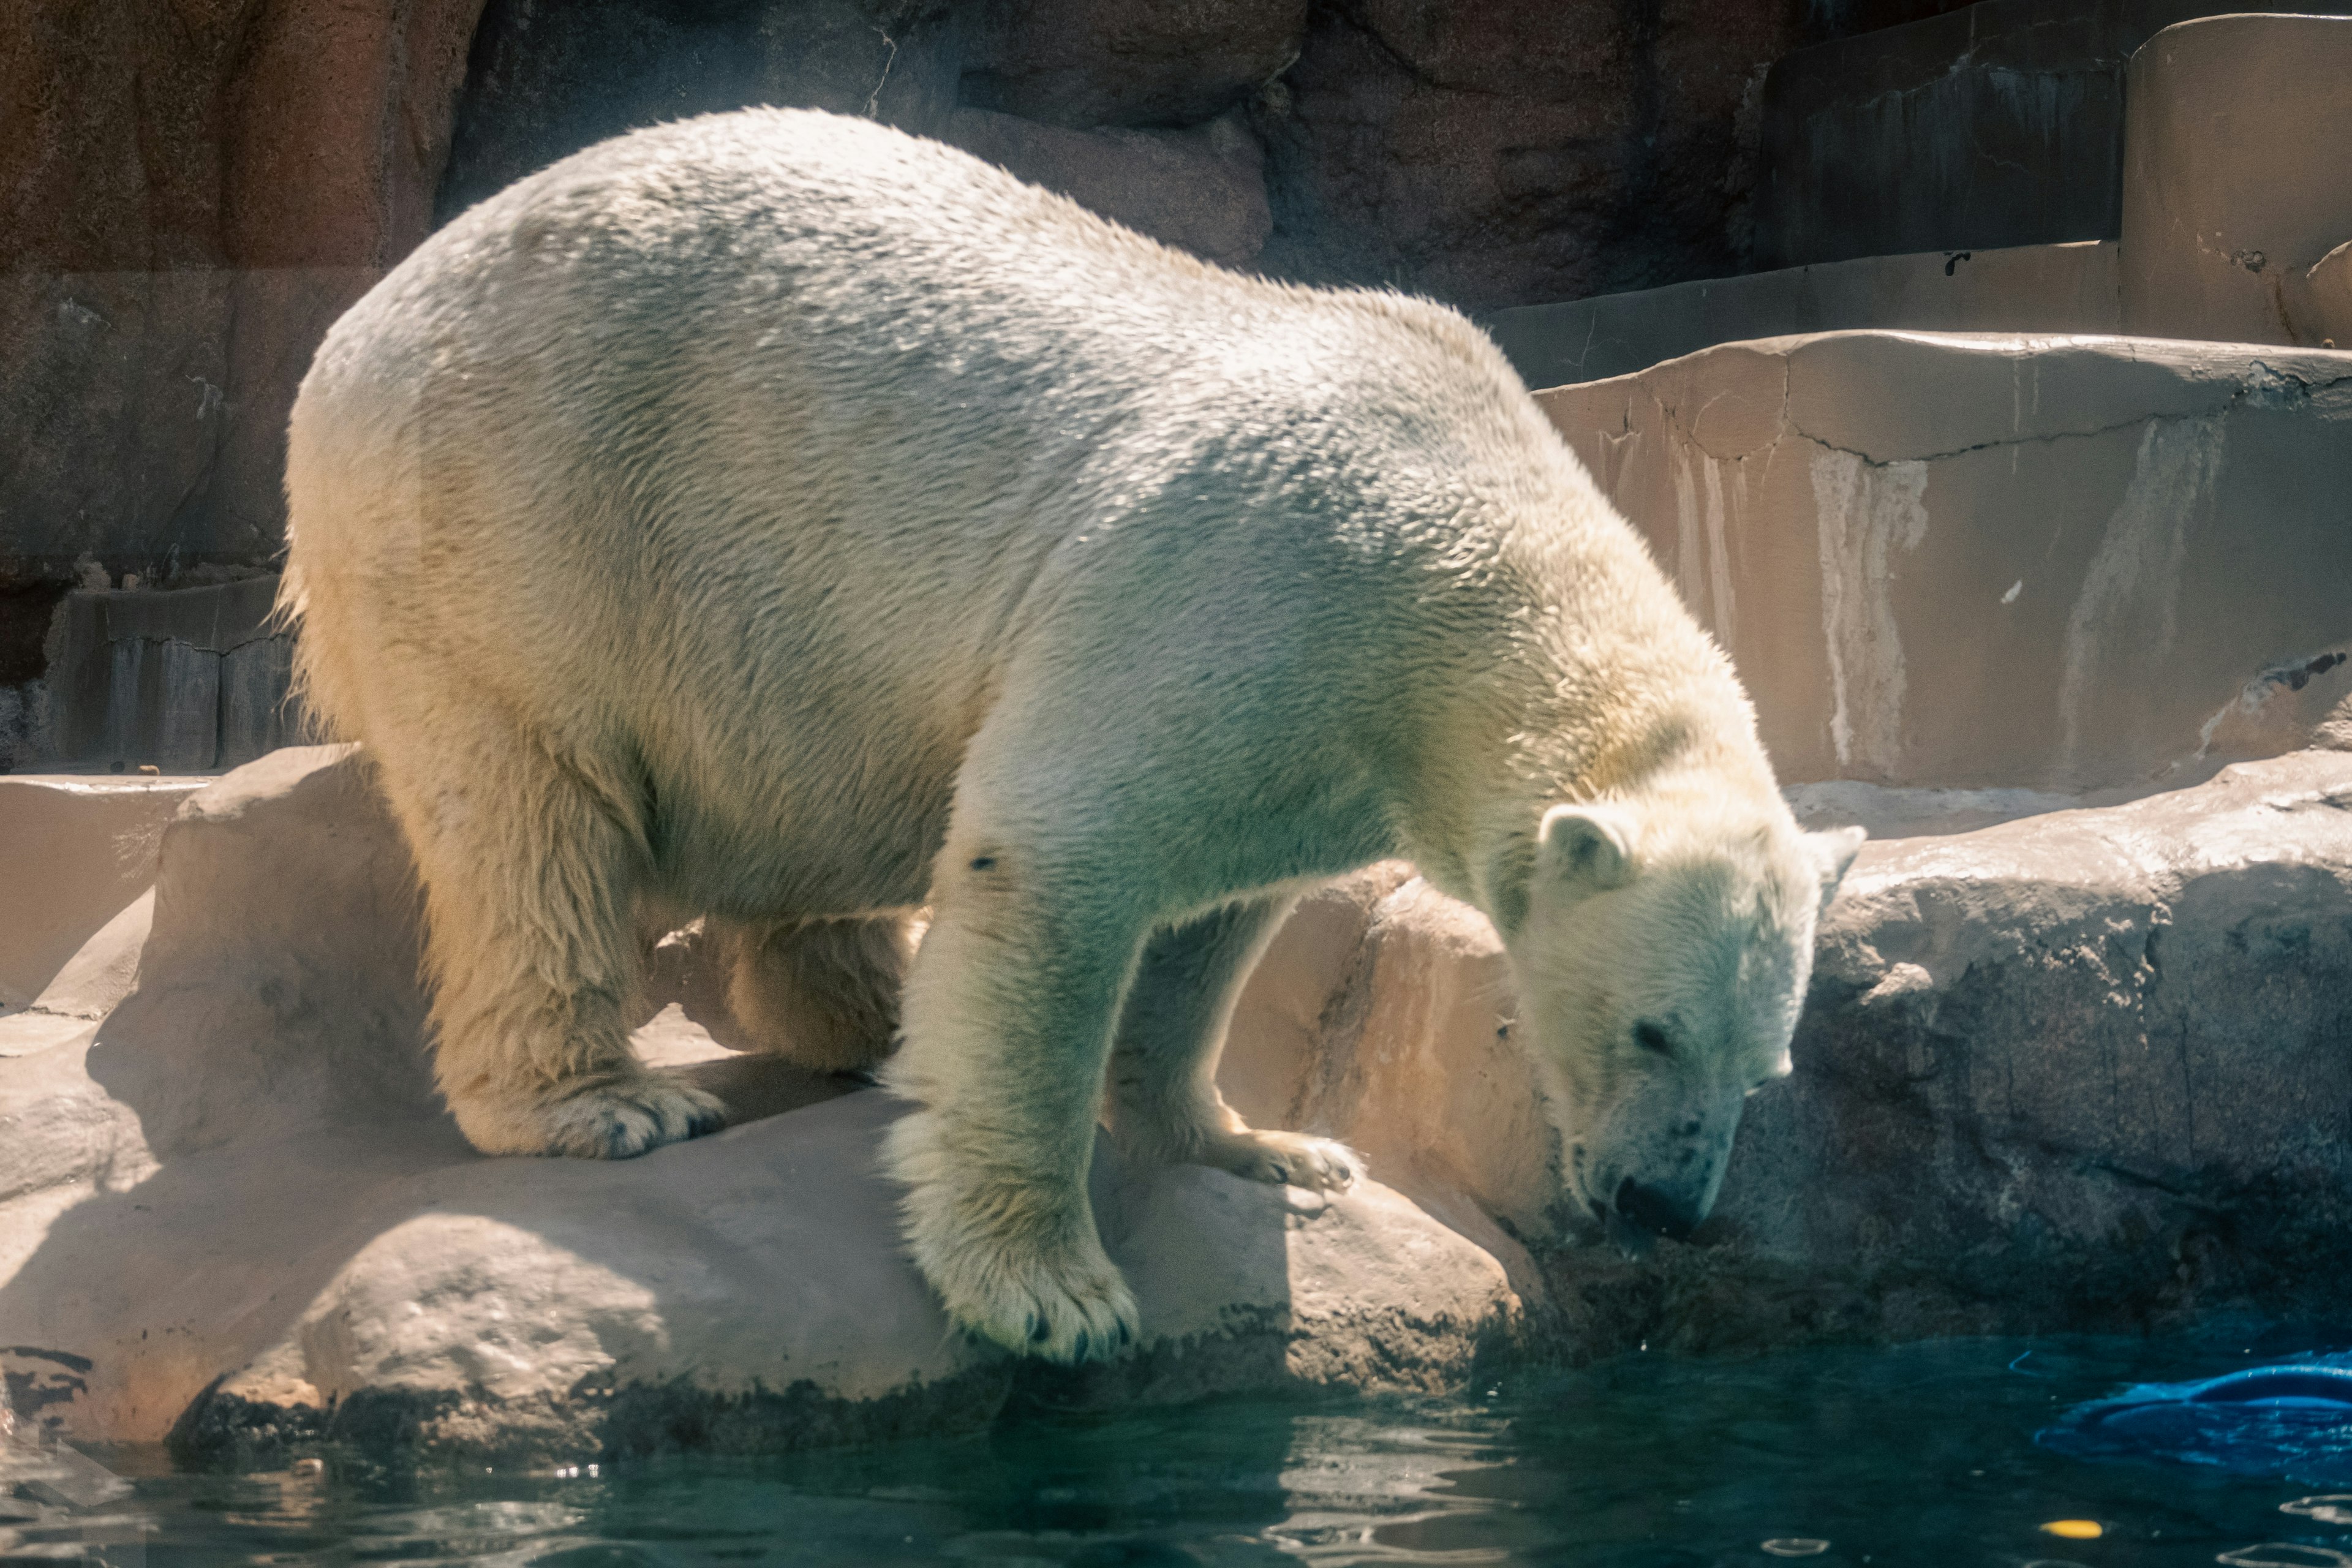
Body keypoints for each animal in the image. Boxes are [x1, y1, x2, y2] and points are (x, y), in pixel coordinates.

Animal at [275, 107, 1863, 1363]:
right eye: (1648, 1024)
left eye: (1767, 1068)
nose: (1663, 1203)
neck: (1463, 532)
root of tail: (349, 336)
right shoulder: (1254, 569)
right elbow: (1056, 861)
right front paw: (1051, 1291)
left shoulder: (1324, 725)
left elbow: (1215, 920)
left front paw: (1268, 1149)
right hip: (526, 498)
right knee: (530, 802)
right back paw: (604, 1101)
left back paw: (865, 1005)